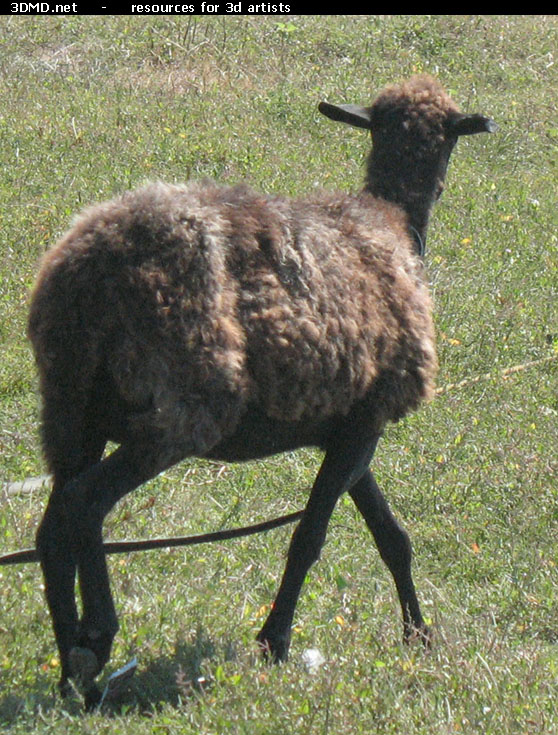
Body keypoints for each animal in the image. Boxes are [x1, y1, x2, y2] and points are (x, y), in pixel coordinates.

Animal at [28, 75, 496, 708]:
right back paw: (95, 639)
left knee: (51, 529)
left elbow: (390, 535)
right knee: (86, 503)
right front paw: (274, 642)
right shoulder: (366, 422)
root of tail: (85, 273)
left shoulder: (348, 426)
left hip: (73, 408)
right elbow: (309, 537)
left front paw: (417, 635)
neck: (394, 219)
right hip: (183, 407)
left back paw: (70, 673)